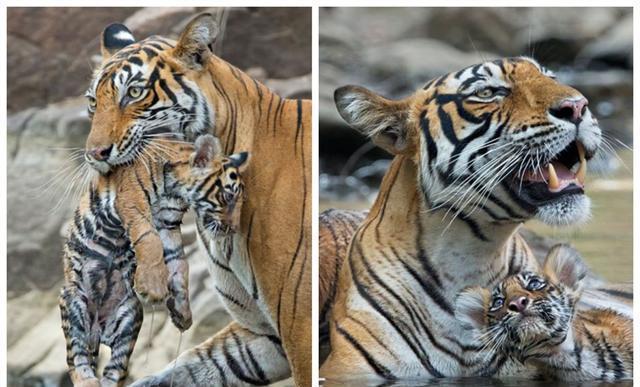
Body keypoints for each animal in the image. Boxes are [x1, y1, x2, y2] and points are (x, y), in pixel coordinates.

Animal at [58, 134, 248, 387]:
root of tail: (97, 330)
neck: (175, 190)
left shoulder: (168, 222)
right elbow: (149, 239)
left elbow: (180, 262)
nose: (233, 228)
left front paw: (183, 314)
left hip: (130, 317)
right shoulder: (133, 203)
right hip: (74, 304)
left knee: (115, 369)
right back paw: (87, 380)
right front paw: (154, 288)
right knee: (76, 359)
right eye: (227, 196)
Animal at [81, 13, 312, 387]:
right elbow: (193, 365)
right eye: (92, 102)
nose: (94, 154)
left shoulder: (300, 324)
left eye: (134, 93)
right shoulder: (263, 333)